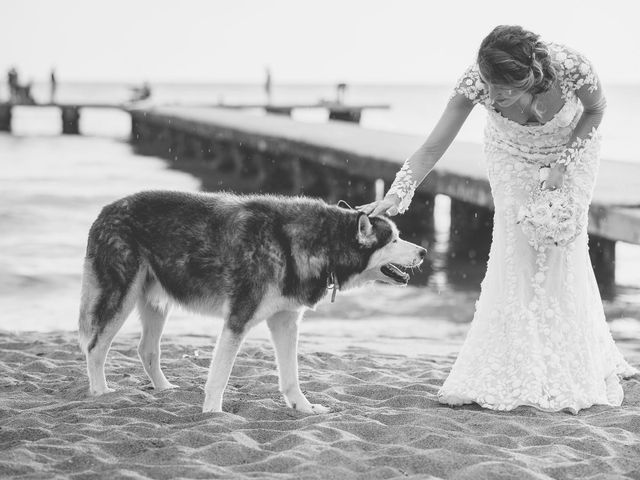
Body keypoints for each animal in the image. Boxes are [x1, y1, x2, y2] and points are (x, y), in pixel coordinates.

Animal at [77, 190, 428, 412]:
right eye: (394, 240)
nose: (424, 252)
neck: (317, 242)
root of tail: (106, 210)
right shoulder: (238, 320)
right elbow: (219, 376)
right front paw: (213, 414)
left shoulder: (286, 321)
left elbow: (291, 376)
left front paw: (302, 407)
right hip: (120, 298)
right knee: (94, 347)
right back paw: (100, 393)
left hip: (156, 303)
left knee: (146, 350)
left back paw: (163, 389)